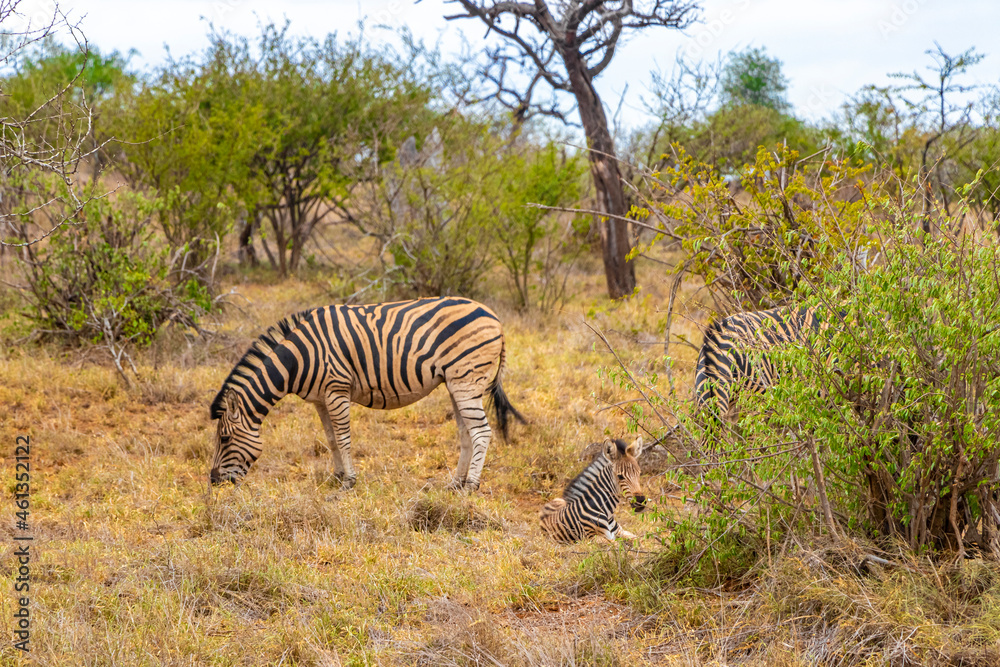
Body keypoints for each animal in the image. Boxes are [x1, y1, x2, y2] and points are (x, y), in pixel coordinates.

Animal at [209, 297, 524, 491]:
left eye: (224, 439)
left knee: (481, 432)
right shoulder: (320, 399)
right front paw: (336, 477)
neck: (298, 360)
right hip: (456, 383)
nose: (213, 481)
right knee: (466, 433)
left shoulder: (337, 389)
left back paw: (471, 486)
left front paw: (349, 480)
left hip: (466, 379)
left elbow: (344, 438)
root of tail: (494, 317)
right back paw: (455, 483)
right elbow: (331, 439)